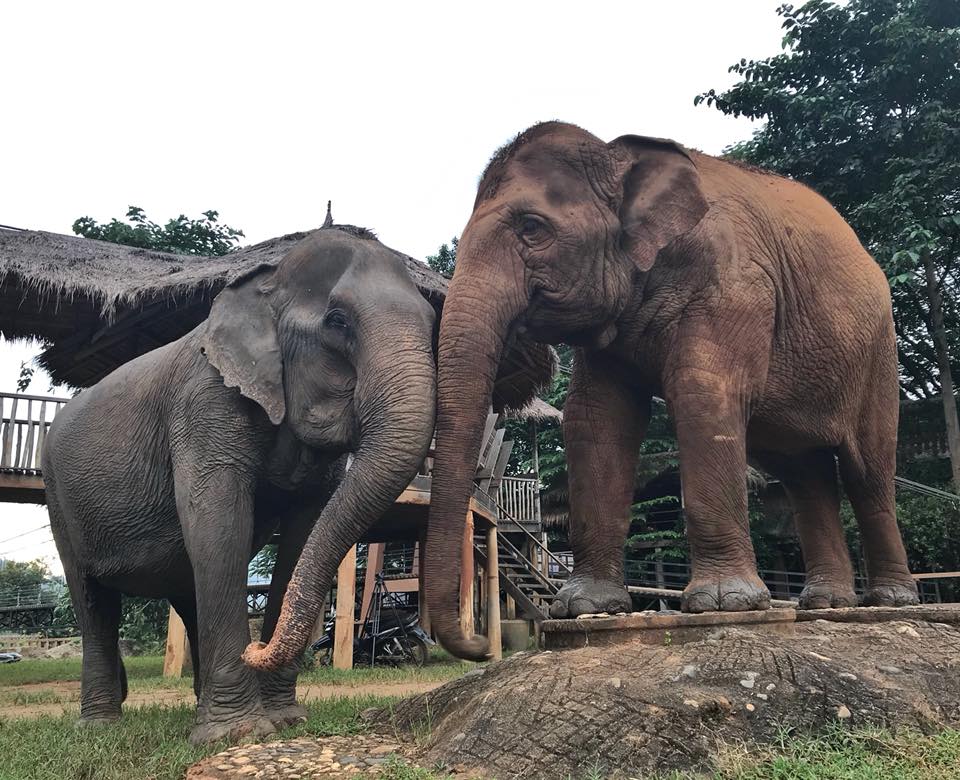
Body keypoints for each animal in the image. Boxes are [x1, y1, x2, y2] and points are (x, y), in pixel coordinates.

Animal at [43, 227, 436, 744]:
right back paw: (101, 726)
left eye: (433, 323)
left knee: (185, 590)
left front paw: (286, 721)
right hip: (57, 495)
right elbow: (219, 519)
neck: (265, 289)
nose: (256, 650)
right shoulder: (204, 404)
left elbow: (304, 531)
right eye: (337, 322)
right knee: (93, 602)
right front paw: (239, 734)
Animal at [426, 120, 916, 660]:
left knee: (867, 470)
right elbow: (595, 419)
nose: (479, 646)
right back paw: (826, 603)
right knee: (804, 474)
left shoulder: (735, 284)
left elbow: (703, 395)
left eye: (532, 228)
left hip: (879, 355)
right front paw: (582, 609)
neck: (618, 156)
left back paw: (891, 601)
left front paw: (724, 605)